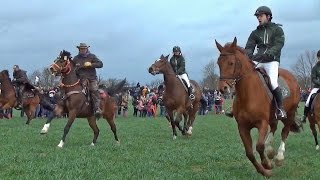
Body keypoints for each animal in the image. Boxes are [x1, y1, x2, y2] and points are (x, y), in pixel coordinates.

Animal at [215, 38, 302, 177]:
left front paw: (267, 164)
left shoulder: (262, 123)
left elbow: (259, 146)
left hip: (290, 113)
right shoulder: (243, 127)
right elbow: (250, 153)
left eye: (231, 63)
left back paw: (279, 157)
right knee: (274, 127)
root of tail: (292, 77)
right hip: (274, 116)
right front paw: (264, 171)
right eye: (219, 63)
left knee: (285, 131)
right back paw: (270, 150)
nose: (223, 88)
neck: (247, 94)